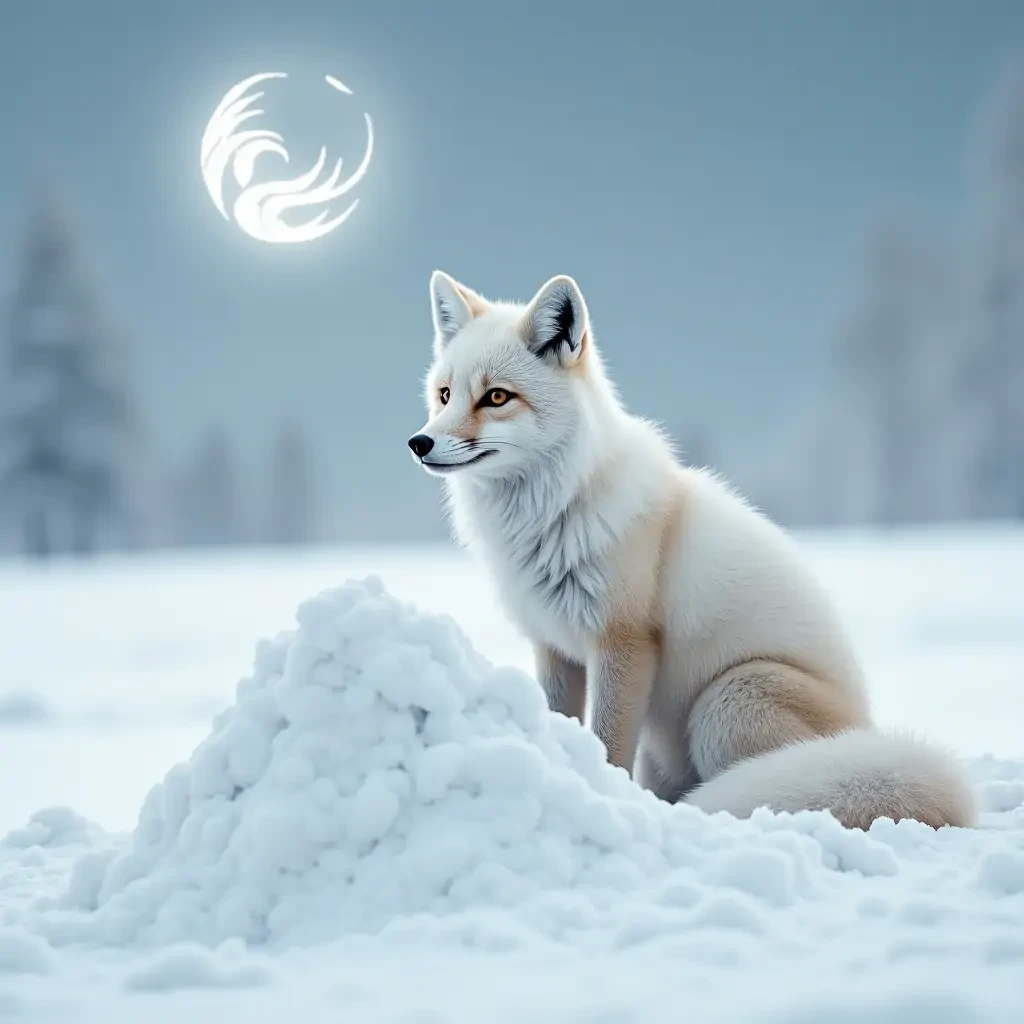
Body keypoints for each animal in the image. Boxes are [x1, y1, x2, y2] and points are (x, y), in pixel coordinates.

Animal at [407, 269, 977, 831]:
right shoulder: (554, 647)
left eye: (497, 398)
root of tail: (866, 730)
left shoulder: (623, 642)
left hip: (726, 703)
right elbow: (560, 722)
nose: (419, 443)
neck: (552, 518)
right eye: (444, 395)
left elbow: (607, 745)